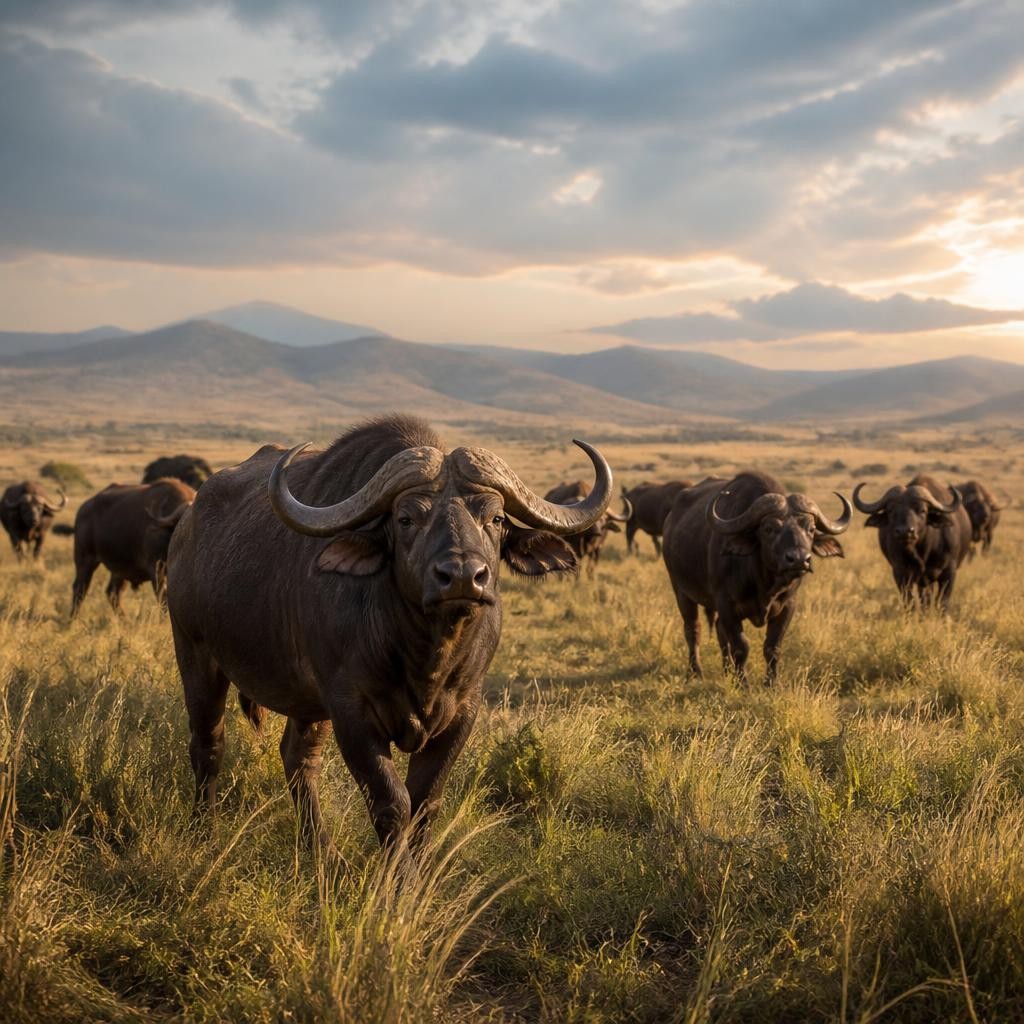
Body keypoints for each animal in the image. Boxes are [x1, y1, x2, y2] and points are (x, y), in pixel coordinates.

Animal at [71, 478, 195, 617]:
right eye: (182, 522)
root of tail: (83, 509)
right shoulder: (156, 570)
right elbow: (163, 600)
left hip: (120, 569)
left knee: (113, 593)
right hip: (85, 559)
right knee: (80, 589)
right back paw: (73, 618)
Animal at [166, 415, 611, 874]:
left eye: (497, 518)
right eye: (406, 518)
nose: (463, 577)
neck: (425, 655)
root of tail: (186, 526)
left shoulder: (462, 712)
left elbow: (425, 802)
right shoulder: (352, 712)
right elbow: (392, 802)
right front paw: (401, 878)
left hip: (307, 703)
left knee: (297, 759)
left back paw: (321, 851)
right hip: (195, 654)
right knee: (208, 744)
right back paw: (205, 832)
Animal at [662, 472, 851, 683]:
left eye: (810, 529)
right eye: (768, 529)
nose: (799, 559)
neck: (763, 583)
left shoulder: (788, 605)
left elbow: (772, 647)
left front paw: (771, 683)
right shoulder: (726, 604)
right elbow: (741, 647)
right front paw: (742, 683)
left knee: (719, 630)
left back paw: (726, 672)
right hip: (681, 591)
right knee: (693, 630)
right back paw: (696, 672)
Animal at [853, 475, 971, 610]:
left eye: (922, 510)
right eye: (890, 510)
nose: (905, 531)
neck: (923, 551)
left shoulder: (949, 573)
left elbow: (943, 602)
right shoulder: (901, 574)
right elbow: (909, 601)